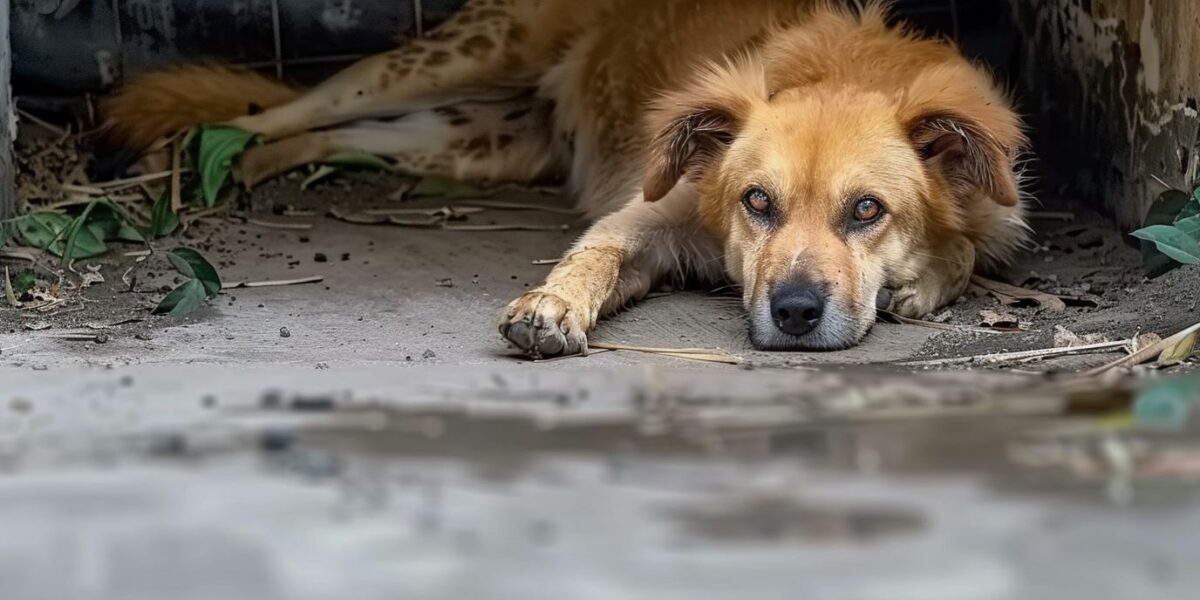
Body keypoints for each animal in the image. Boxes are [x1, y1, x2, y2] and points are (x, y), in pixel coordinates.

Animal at [98, 0, 1027, 355]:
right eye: (756, 203)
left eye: (867, 210)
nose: (795, 313)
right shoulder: (645, 218)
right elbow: (593, 253)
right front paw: (547, 307)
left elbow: (969, 248)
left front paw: (918, 286)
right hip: (441, 63)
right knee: (272, 115)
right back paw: (172, 166)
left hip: (464, 141)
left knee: (323, 139)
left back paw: (243, 173)